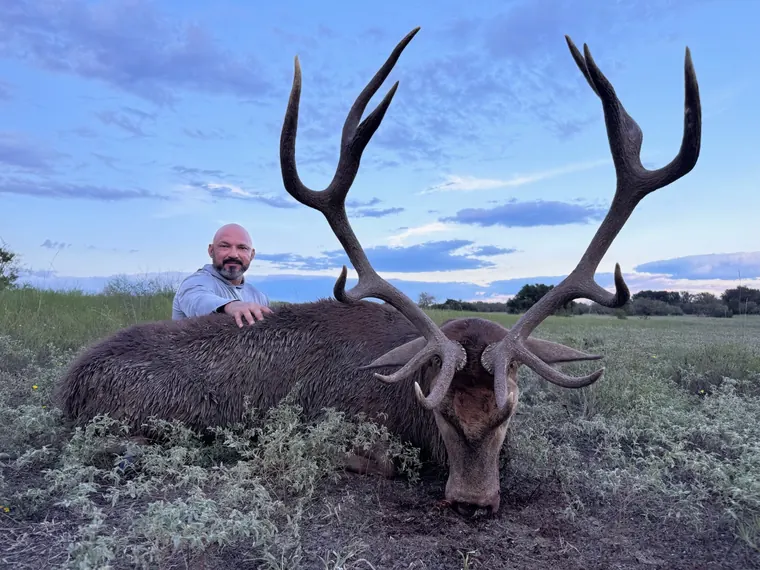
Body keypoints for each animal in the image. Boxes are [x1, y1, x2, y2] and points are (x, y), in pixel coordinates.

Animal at [55, 27, 701, 517]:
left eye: (510, 409)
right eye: (437, 410)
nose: (471, 502)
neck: (403, 407)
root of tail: (68, 383)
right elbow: (379, 461)